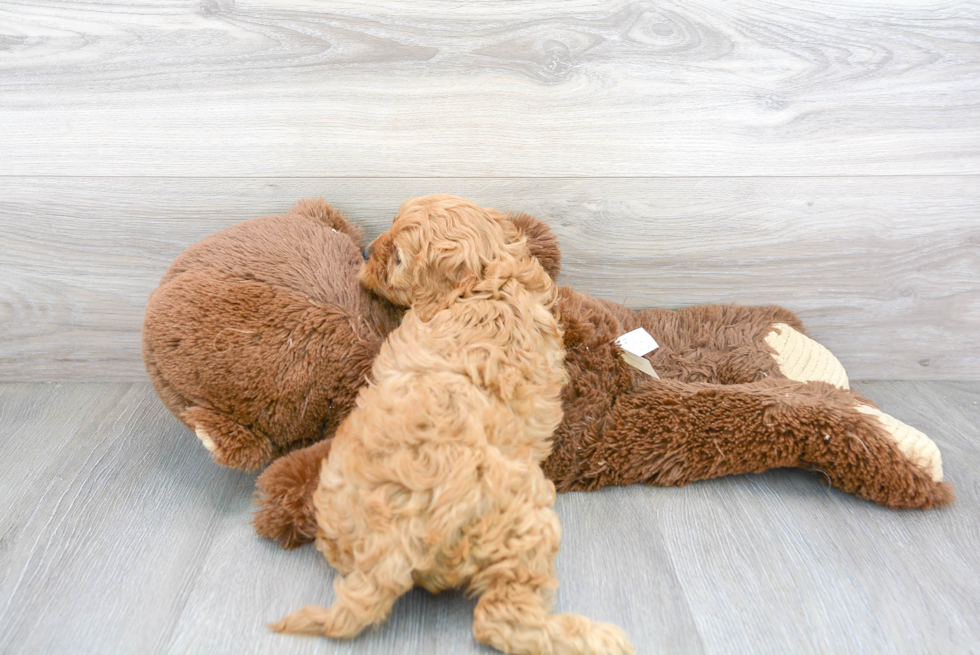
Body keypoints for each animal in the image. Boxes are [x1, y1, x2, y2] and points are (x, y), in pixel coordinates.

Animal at [268, 196, 636, 655]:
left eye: (397, 256)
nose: (367, 252)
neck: (484, 280)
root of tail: (391, 547)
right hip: (522, 522)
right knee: (498, 618)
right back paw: (591, 635)